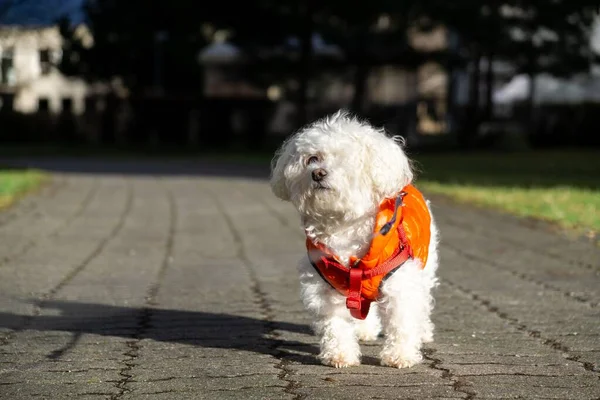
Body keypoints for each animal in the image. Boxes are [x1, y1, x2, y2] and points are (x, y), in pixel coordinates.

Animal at [270, 110, 438, 368]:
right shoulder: (325, 289)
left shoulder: (400, 283)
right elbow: (335, 325)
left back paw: (423, 332)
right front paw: (339, 354)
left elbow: (402, 322)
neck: (344, 226)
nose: (317, 173)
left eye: (344, 159)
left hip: (425, 266)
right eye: (312, 159)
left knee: (423, 303)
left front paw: (400, 355)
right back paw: (364, 330)